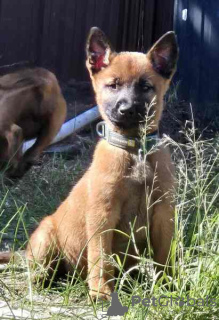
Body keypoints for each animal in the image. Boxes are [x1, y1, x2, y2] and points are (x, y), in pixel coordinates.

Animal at [0, 27, 178, 300]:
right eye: (113, 85)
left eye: (146, 87)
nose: (126, 109)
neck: (135, 151)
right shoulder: (102, 214)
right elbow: (101, 256)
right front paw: (101, 291)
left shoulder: (163, 212)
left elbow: (165, 255)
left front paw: (168, 285)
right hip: (45, 237)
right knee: (42, 269)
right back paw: (45, 280)